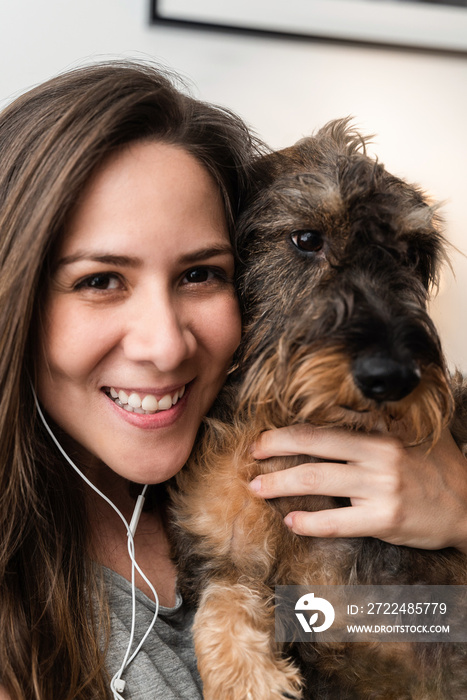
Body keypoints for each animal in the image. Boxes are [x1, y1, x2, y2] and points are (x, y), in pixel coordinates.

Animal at [170, 121, 467, 700]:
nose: (392, 377)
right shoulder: (225, 553)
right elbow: (221, 615)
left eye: (411, 254)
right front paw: (254, 680)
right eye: (307, 239)